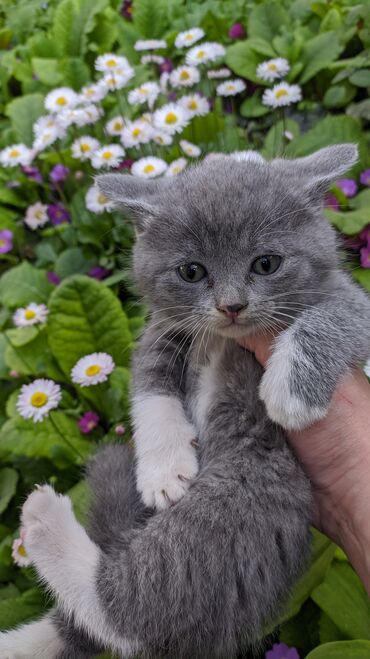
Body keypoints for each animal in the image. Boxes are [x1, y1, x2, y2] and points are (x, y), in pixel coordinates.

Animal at [0, 146, 370, 659]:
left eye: (266, 263)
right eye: (191, 271)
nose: (231, 306)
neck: (223, 338)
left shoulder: (344, 293)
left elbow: (339, 314)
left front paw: (290, 391)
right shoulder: (163, 326)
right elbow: (150, 382)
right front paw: (162, 470)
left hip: (245, 490)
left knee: (135, 610)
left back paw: (42, 519)